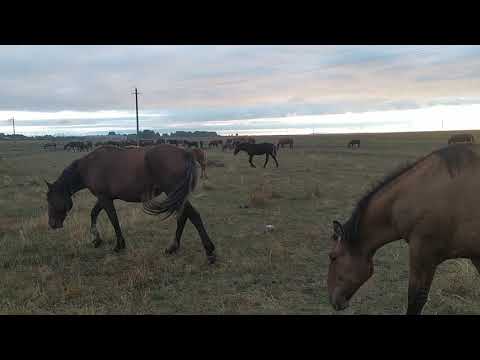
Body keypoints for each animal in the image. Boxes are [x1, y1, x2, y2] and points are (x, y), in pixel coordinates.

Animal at [45, 144, 218, 264]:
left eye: (50, 199)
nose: (52, 224)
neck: (89, 166)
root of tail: (186, 153)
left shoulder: (105, 198)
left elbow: (113, 220)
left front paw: (119, 245)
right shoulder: (104, 198)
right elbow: (94, 213)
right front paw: (96, 239)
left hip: (173, 193)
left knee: (192, 216)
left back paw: (209, 252)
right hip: (176, 196)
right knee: (183, 217)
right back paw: (172, 248)